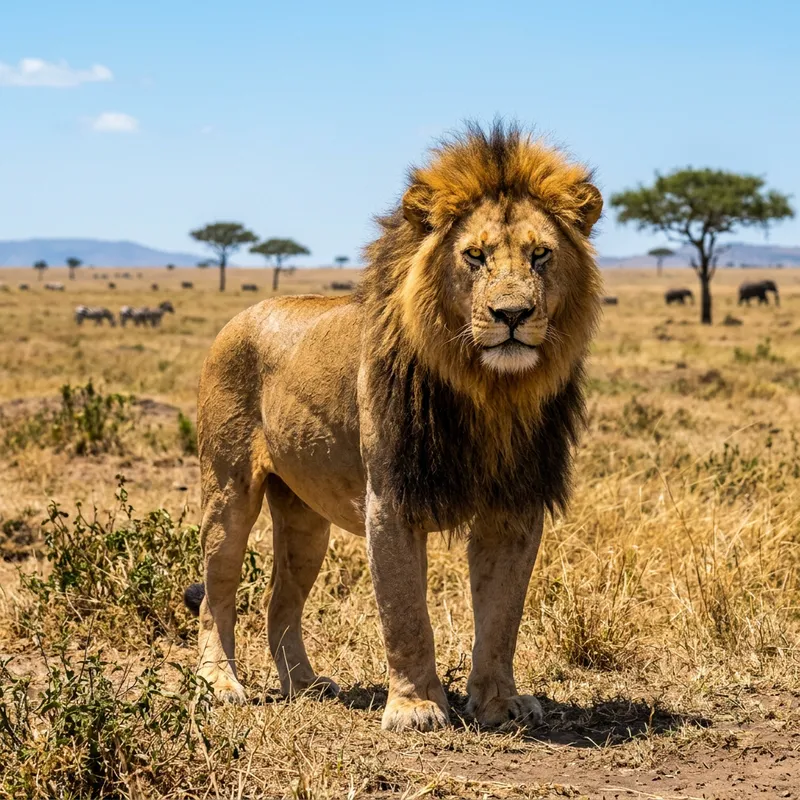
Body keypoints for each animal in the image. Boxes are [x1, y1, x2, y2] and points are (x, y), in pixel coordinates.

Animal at [183, 122, 603, 732]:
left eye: (541, 254)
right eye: (474, 256)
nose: (512, 315)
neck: (488, 392)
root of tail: (241, 316)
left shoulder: (514, 505)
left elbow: (502, 616)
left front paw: (499, 703)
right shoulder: (391, 500)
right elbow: (405, 614)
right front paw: (416, 707)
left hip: (304, 517)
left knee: (278, 600)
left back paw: (306, 685)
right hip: (228, 488)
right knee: (218, 590)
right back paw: (219, 683)